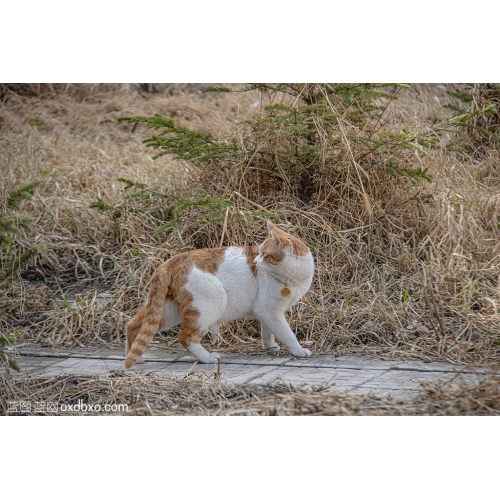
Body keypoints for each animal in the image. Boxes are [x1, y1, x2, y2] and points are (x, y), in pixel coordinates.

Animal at [123, 221, 314, 370]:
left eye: (264, 254)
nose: (254, 262)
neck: (294, 276)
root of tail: (169, 261)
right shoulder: (269, 310)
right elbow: (286, 333)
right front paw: (298, 350)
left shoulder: (267, 313)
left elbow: (267, 331)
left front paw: (270, 347)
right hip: (209, 305)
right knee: (185, 337)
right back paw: (208, 358)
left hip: (167, 311)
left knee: (133, 326)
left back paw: (136, 357)